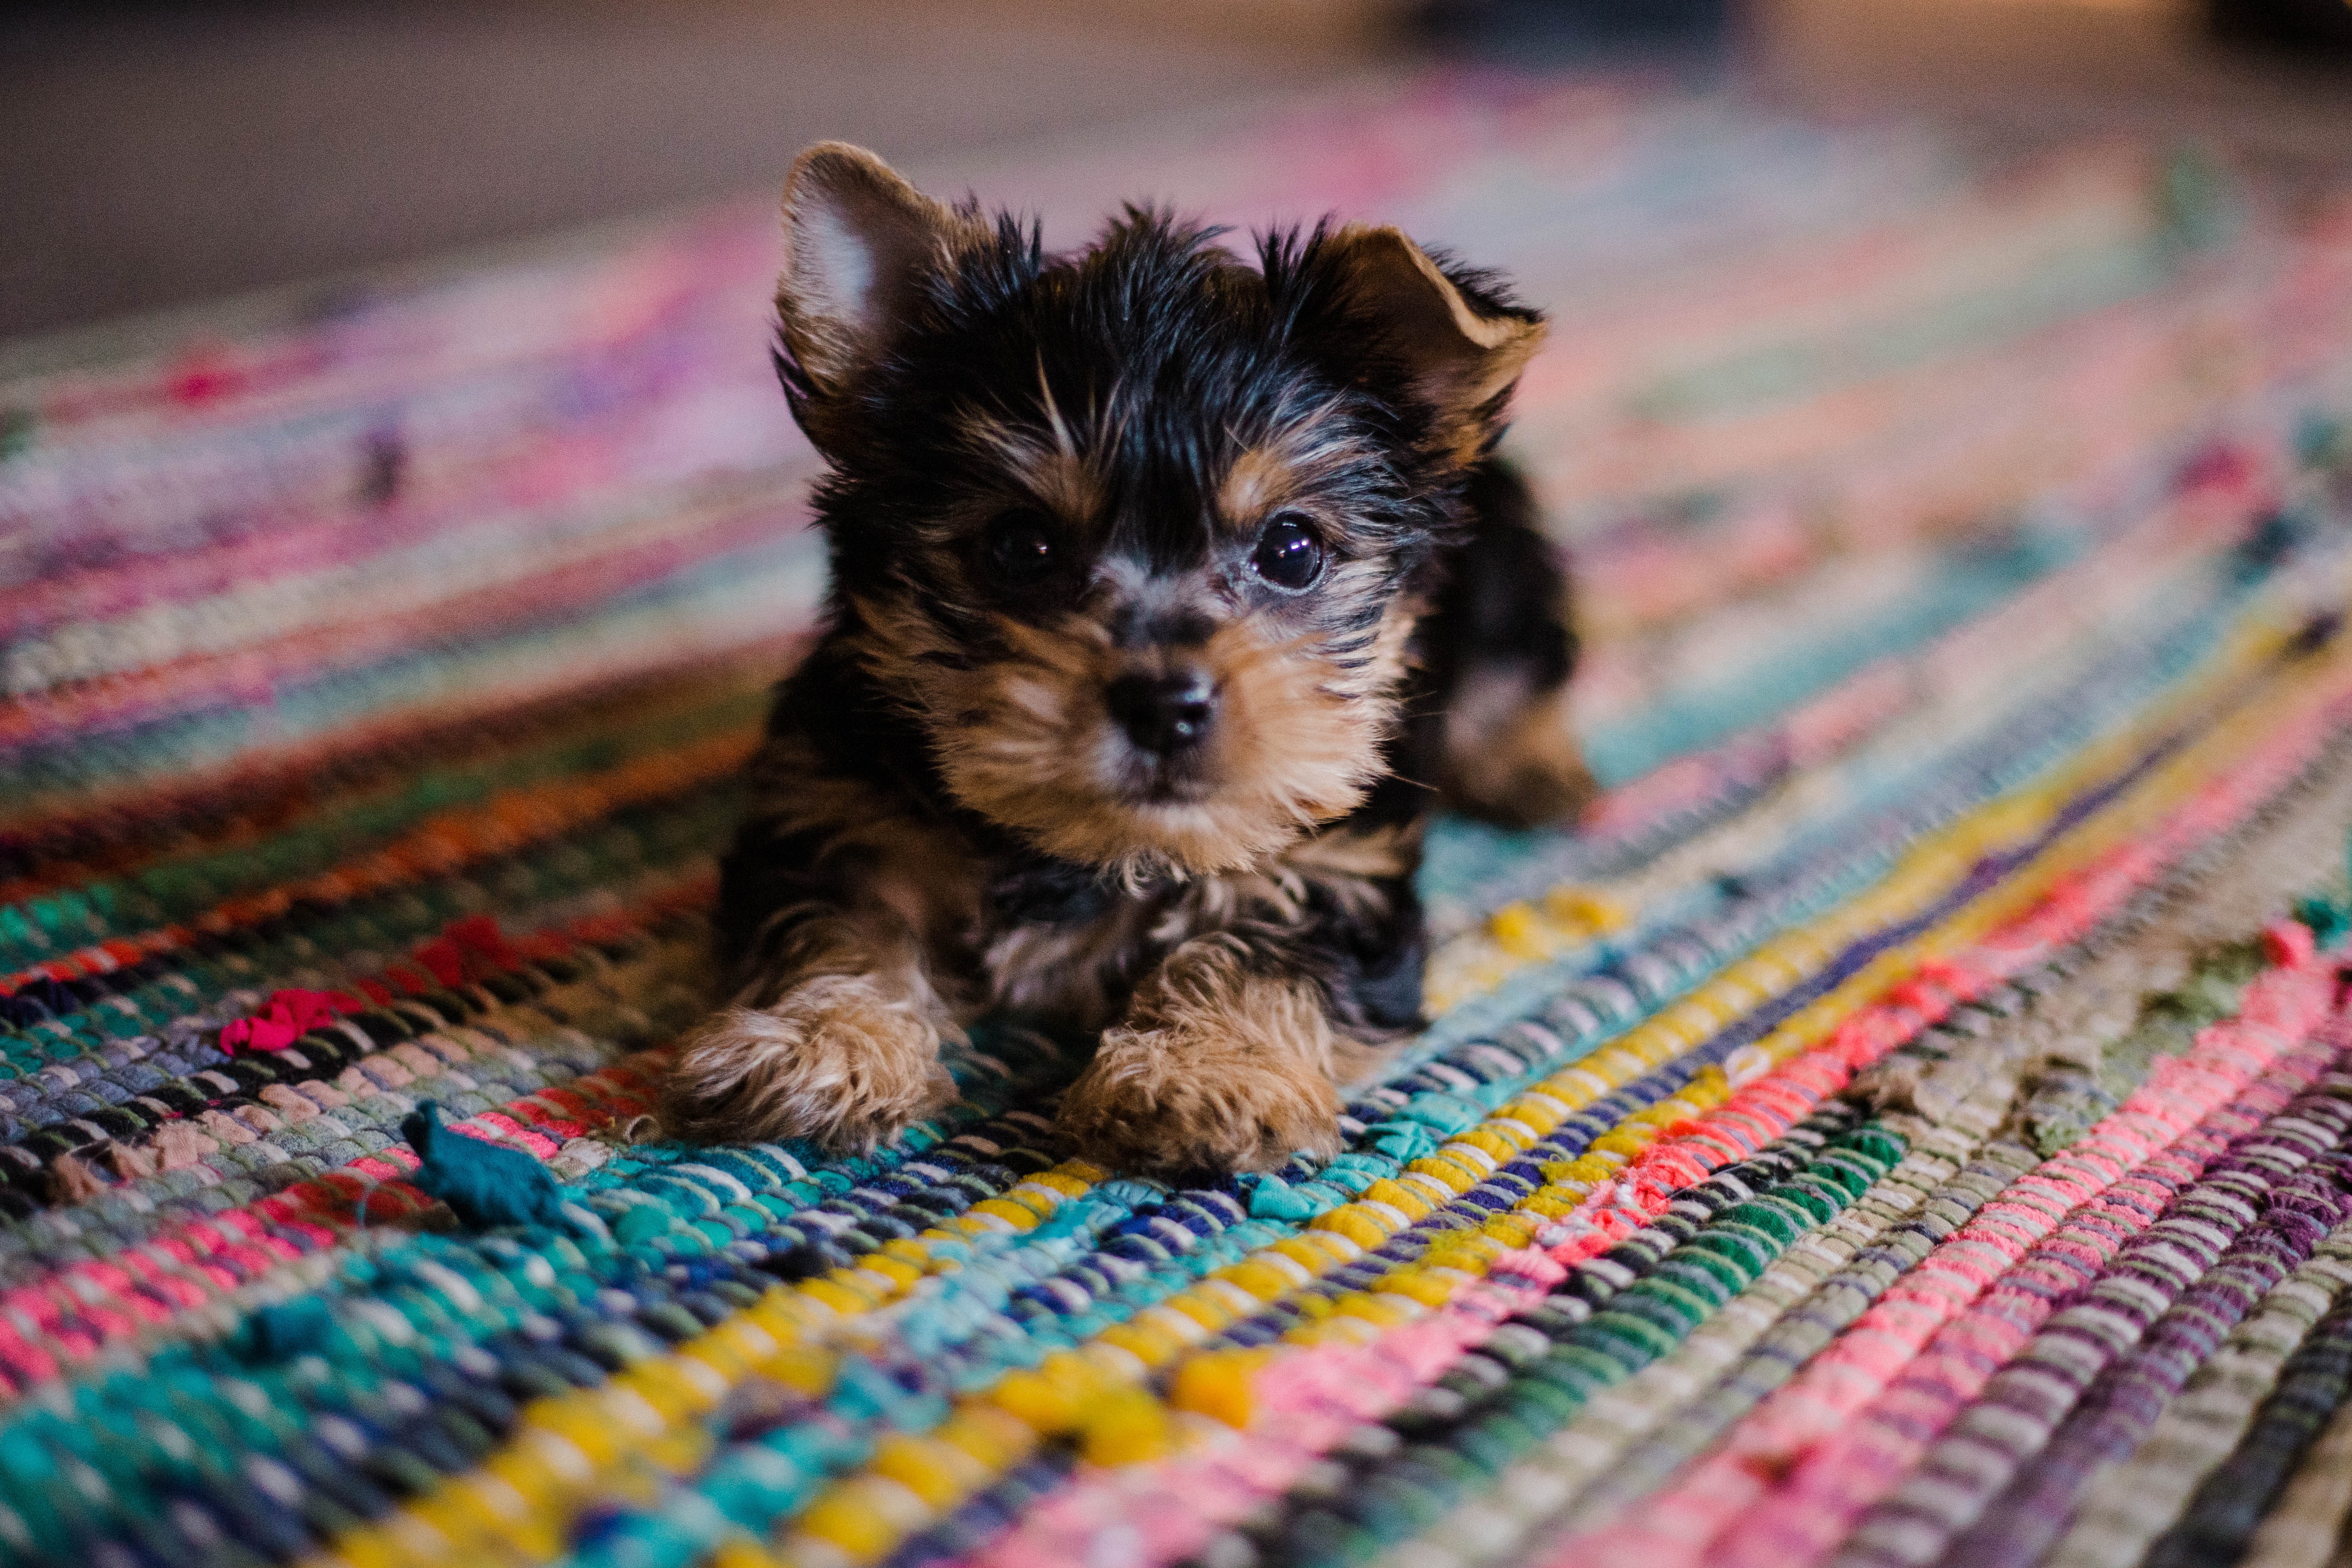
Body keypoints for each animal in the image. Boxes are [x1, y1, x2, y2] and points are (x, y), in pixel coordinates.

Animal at [654, 144, 1590, 1175]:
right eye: (1020, 547)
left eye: (1291, 549)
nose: (1164, 705)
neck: (1096, 848)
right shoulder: (833, 805)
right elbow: (837, 921)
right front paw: (823, 1043)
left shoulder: (1337, 859)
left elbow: (1262, 948)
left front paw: (1207, 1074)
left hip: (1504, 574)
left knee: (1523, 664)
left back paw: (1535, 769)